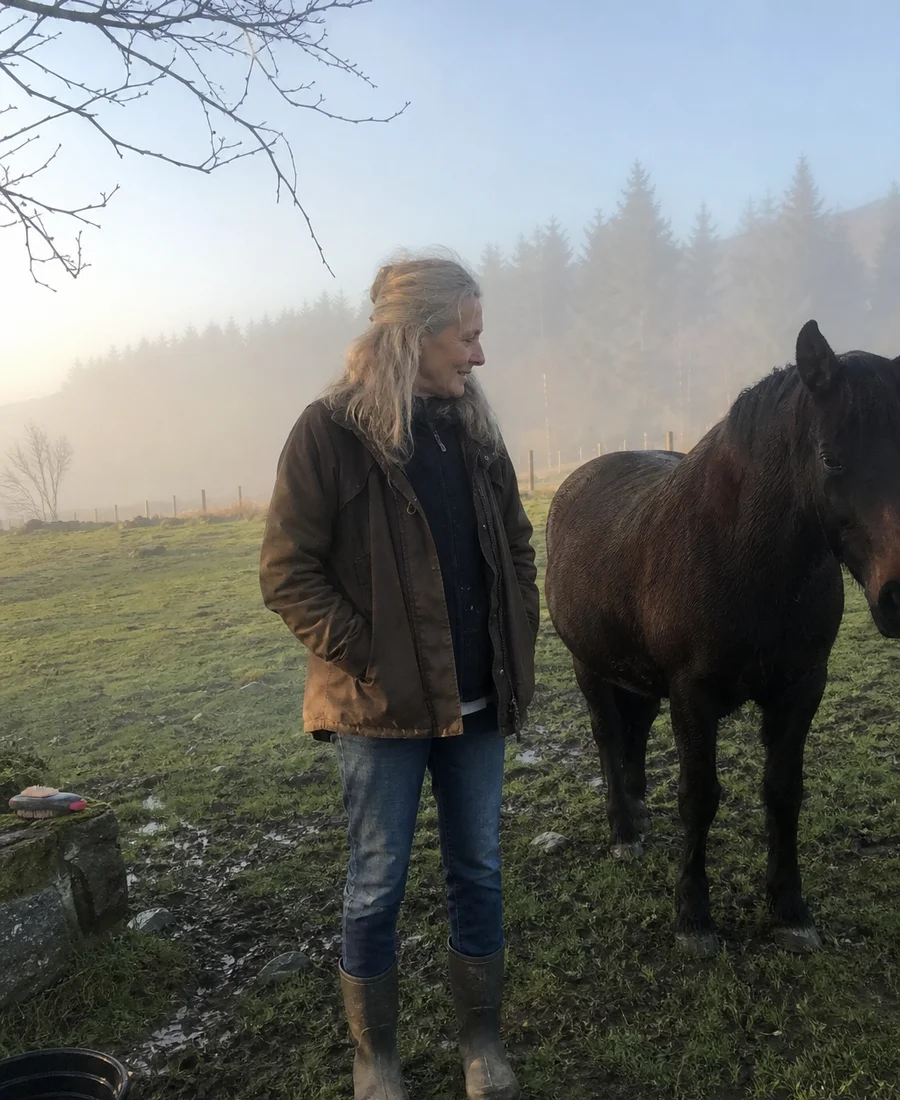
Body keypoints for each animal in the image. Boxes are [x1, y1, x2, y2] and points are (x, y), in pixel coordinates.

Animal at [544, 320, 900, 957]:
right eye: (830, 458)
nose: (899, 594)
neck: (746, 554)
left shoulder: (801, 688)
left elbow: (783, 792)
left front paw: (789, 909)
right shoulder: (694, 695)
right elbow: (699, 797)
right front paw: (694, 917)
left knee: (635, 731)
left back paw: (638, 810)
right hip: (589, 667)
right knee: (609, 737)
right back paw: (624, 829)